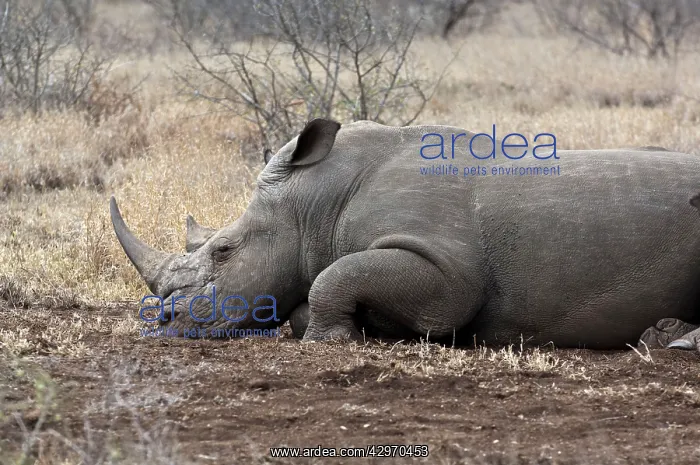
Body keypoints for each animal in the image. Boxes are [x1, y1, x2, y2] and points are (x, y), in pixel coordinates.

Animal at [110, 118, 700, 351]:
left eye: (224, 250)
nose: (164, 322)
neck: (314, 204)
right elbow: (317, 287)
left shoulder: (448, 270)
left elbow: (332, 278)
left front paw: (330, 340)